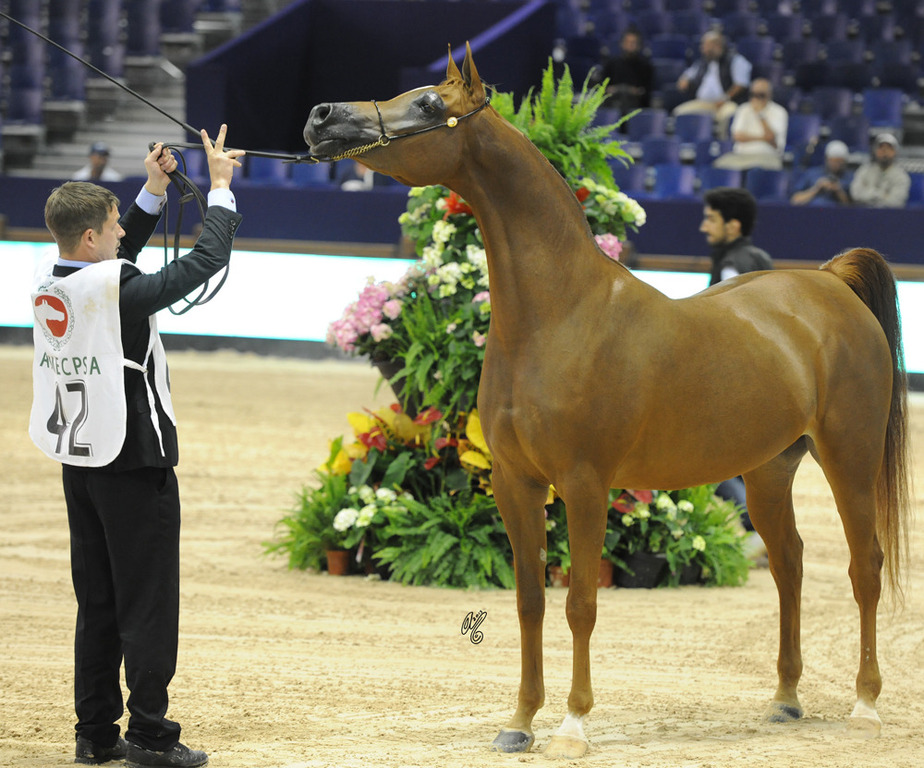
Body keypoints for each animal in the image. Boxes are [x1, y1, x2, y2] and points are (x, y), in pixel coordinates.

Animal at [304, 44, 911, 758]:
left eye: (428, 104)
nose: (322, 116)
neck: (561, 314)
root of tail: (829, 283)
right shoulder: (515, 482)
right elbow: (531, 600)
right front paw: (519, 721)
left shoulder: (585, 485)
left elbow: (581, 604)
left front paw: (572, 725)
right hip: (769, 469)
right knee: (789, 563)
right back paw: (785, 698)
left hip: (849, 459)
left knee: (865, 567)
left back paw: (865, 706)